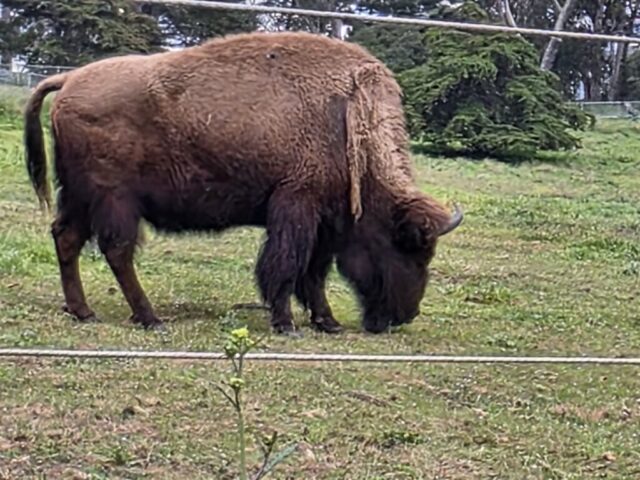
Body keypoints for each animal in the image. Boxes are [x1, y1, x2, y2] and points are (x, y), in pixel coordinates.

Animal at [24, 31, 463, 335]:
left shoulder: (323, 220)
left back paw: (84, 312)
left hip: (79, 197)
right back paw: (150, 318)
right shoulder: (296, 204)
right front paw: (286, 323)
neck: (347, 120)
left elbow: (314, 271)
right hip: (114, 199)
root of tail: (70, 80)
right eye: (406, 245)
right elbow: (286, 265)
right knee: (117, 250)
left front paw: (328, 322)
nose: (404, 316)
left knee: (66, 237)